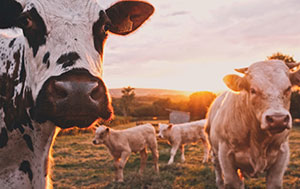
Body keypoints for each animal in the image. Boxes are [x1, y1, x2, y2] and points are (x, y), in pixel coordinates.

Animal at [205, 60, 300, 188]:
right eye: (253, 90)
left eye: (288, 88)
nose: (278, 119)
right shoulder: (225, 156)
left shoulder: (282, 155)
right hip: (214, 152)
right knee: (219, 174)